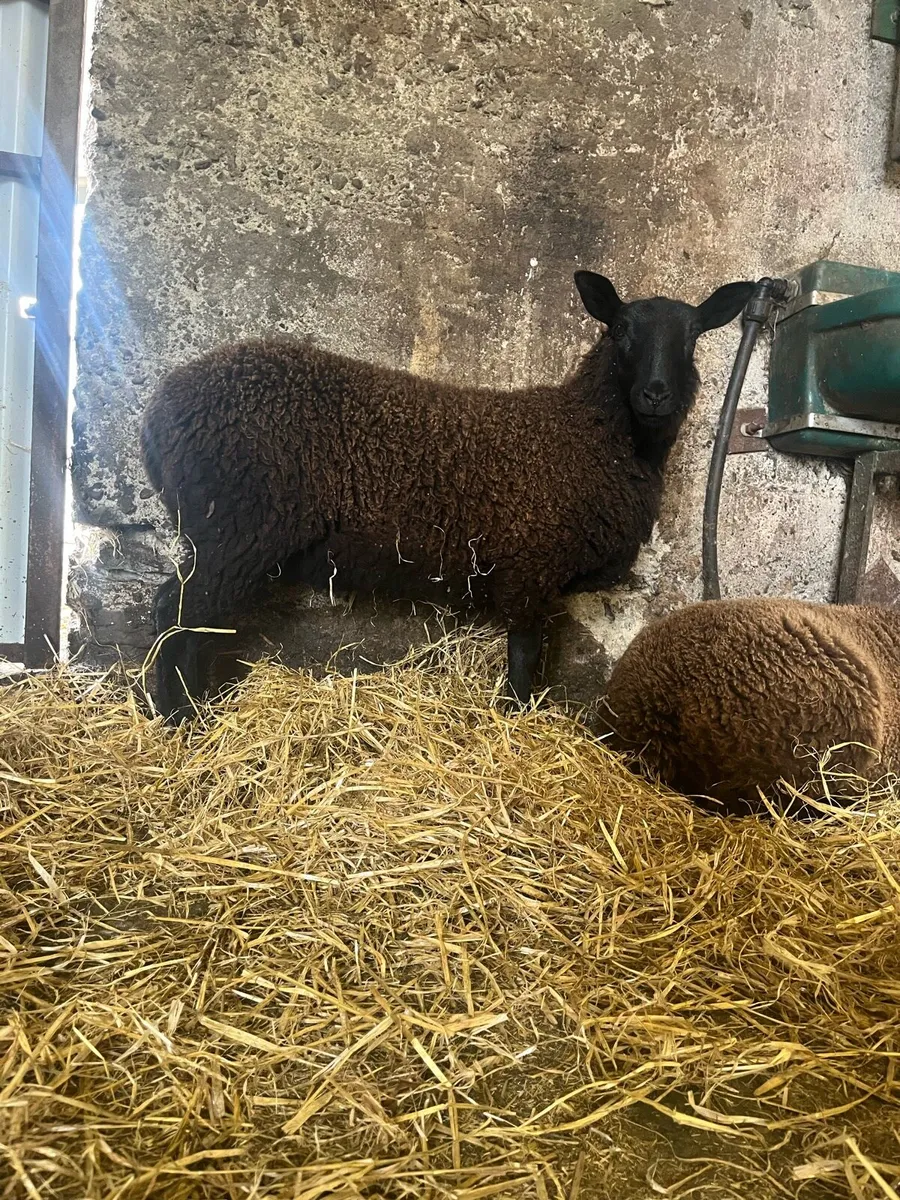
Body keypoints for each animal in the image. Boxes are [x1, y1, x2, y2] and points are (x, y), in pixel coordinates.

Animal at [141, 270, 754, 722]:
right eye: (621, 329)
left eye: (693, 336)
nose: (656, 393)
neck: (585, 432)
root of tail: (162, 410)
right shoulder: (530, 563)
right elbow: (524, 654)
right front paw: (515, 722)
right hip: (234, 529)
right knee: (178, 613)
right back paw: (182, 719)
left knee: (185, 614)